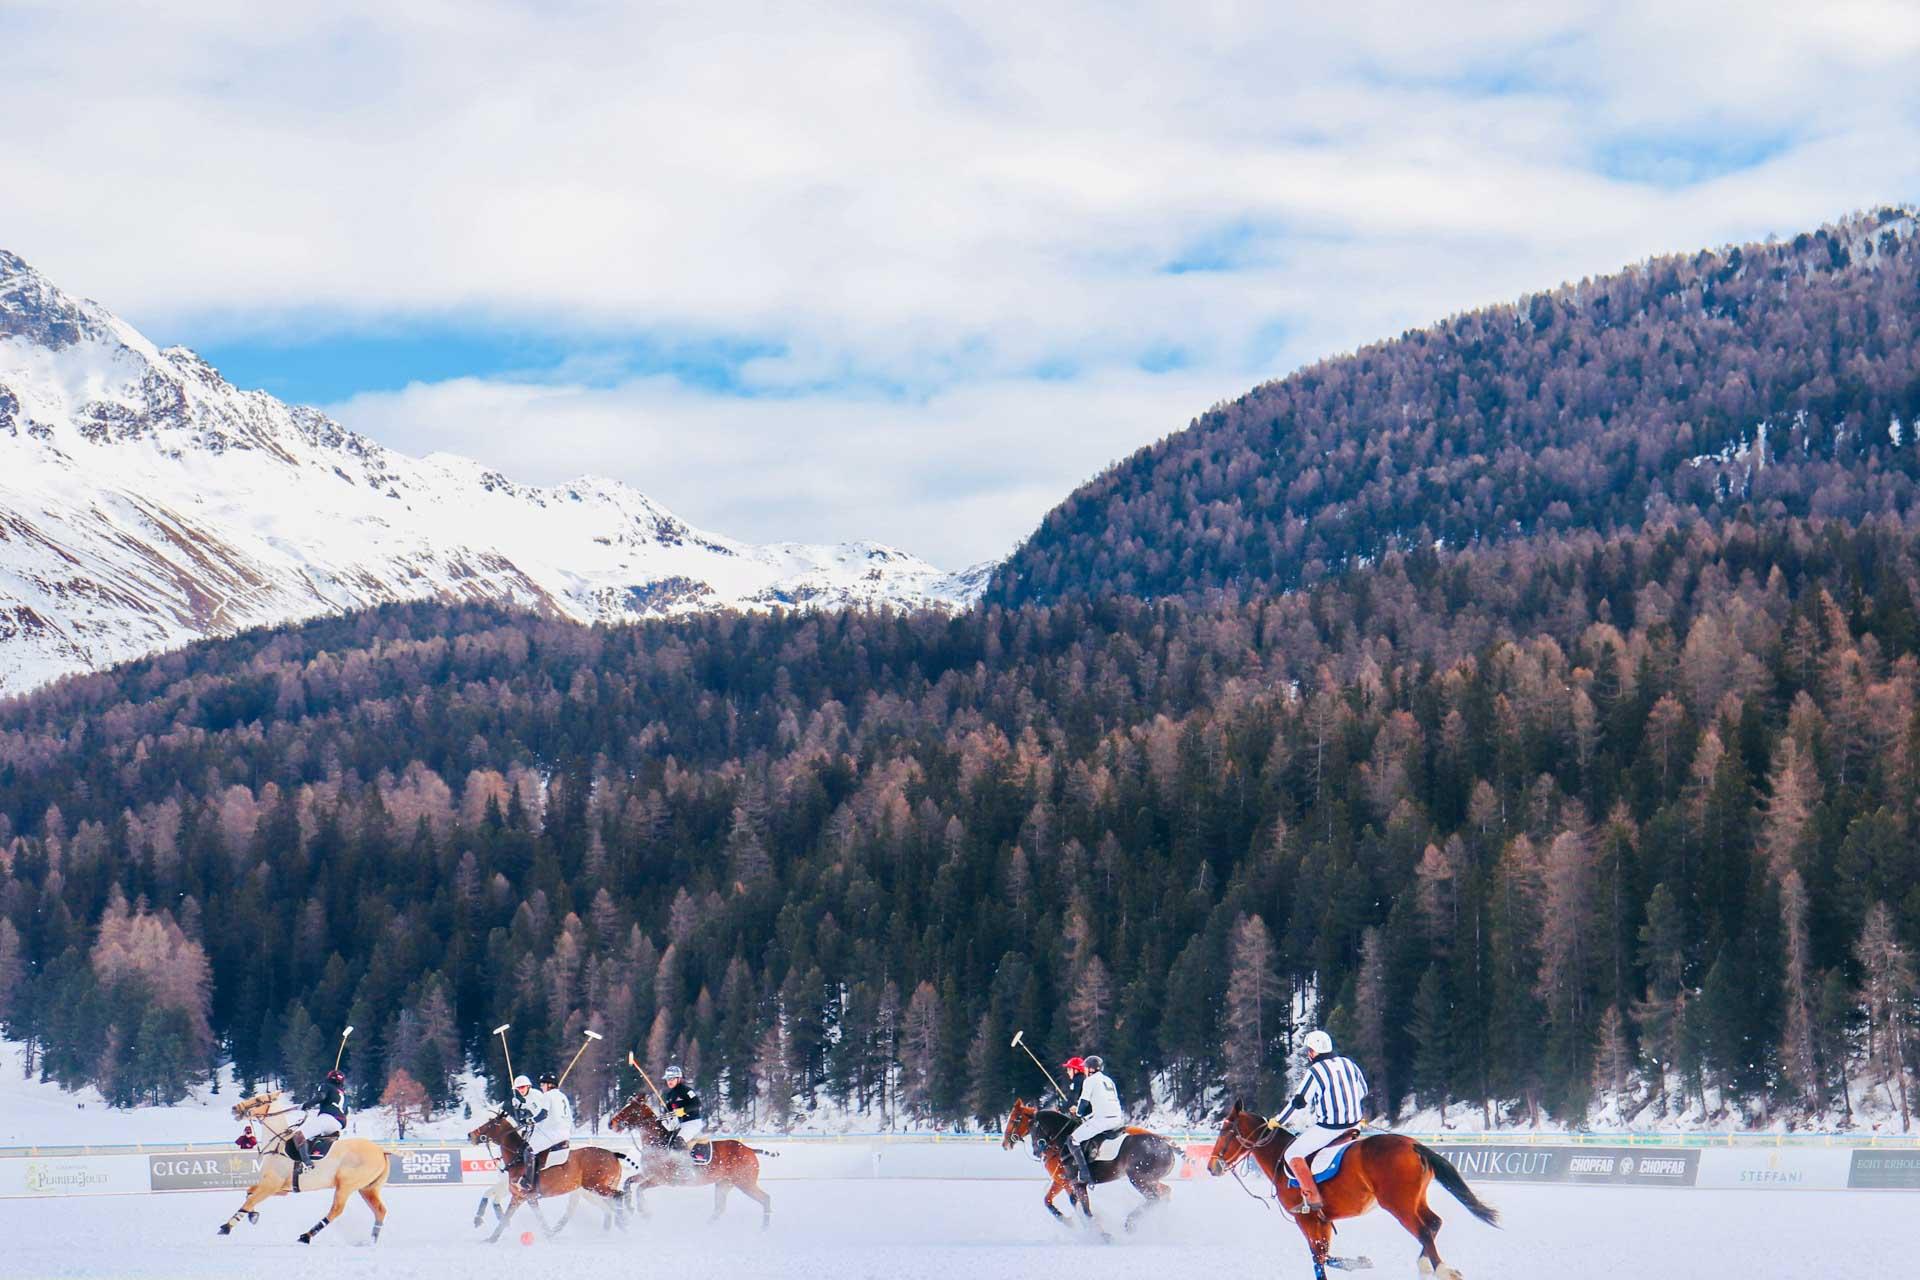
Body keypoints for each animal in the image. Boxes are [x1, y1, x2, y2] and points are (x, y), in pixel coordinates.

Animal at [217, 1090, 393, 1243]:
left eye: (259, 1099)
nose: (235, 1108)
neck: (277, 1142)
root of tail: (382, 1151)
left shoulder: (272, 1184)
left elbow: (249, 1201)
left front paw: (226, 1227)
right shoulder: (280, 1188)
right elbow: (250, 1193)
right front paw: (253, 1216)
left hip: (346, 1185)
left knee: (337, 1210)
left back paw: (306, 1236)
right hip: (367, 1188)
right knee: (380, 1210)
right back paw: (372, 1240)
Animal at [466, 1113, 633, 1243]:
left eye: (489, 1123)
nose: (470, 1135)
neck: (517, 1158)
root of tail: (613, 1154)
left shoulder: (522, 1195)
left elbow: (511, 1216)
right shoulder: (523, 1197)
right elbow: (524, 1215)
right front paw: (491, 1237)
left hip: (595, 1187)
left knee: (618, 1196)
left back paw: (623, 1224)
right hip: (595, 1189)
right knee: (608, 1204)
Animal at [606, 1090, 771, 1228]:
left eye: (630, 1110)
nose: (610, 1123)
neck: (657, 1143)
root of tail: (749, 1149)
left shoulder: (661, 1179)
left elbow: (640, 1189)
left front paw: (644, 1213)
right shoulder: (647, 1174)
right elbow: (628, 1183)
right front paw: (630, 1207)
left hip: (745, 1182)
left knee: (765, 1198)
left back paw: (764, 1229)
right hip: (724, 1184)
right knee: (720, 1208)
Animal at [998, 1097, 1175, 1235]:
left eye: (1015, 1119)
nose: (1004, 1144)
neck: (1059, 1141)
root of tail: (1167, 1145)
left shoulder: (1072, 1183)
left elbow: (1082, 1208)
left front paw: (1099, 1234)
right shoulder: (1061, 1180)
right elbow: (1048, 1201)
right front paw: (1069, 1222)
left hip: (1139, 1178)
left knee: (1155, 1198)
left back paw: (1130, 1223)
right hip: (1149, 1179)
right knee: (1165, 1192)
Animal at [1198, 1105, 1497, 1280]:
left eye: (1226, 1131)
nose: (1211, 1166)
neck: (1280, 1157)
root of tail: (1413, 1145)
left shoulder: (1305, 1218)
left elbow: (1319, 1257)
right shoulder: (1323, 1219)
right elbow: (1325, 1255)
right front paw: (1360, 1262)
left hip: (1398, 1203)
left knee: (1424, 1230)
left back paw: (1443, 1269)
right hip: (1415, 1199)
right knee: (1434, 1222)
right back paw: (1425, 1264)